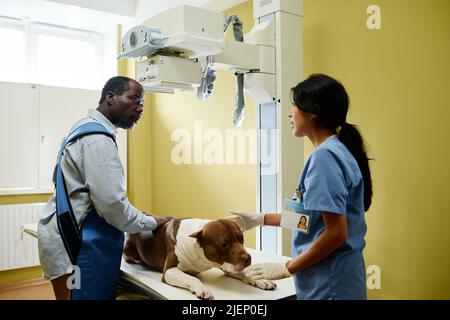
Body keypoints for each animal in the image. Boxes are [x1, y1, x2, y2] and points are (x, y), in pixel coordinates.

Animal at [124, 218, 278, 300]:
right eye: (224, 244)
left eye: (241, 239)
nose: (248, 258)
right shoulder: (169, 271)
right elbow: (192, 278)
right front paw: (203, 289)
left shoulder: (227, 265)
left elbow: (245, 272)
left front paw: (261, 279)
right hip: (129, 252)